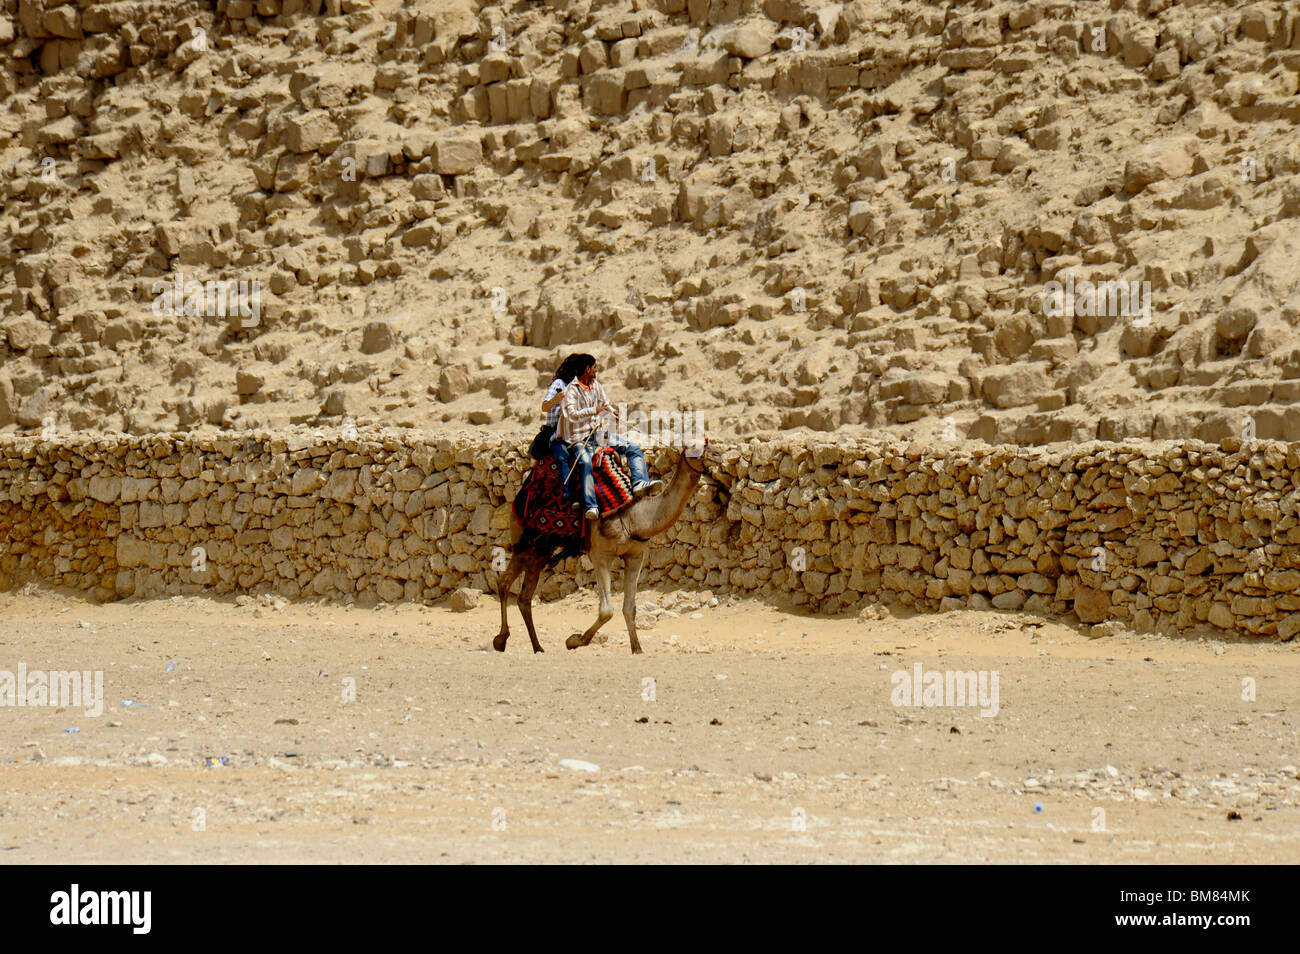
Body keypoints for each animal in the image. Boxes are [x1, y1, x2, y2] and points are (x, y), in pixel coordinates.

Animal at [493, 438, 721, 654]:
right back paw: (501, 640)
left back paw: (537, 647)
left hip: (541, 549)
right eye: (694, 446)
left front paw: (637, 648)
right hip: (524, 540)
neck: (634, 517)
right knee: (504, 582)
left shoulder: (635, 555)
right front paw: (575, 640)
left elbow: (629, 608)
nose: (718, 455)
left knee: (523, 597)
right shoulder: (600, 554)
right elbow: (606, 610)